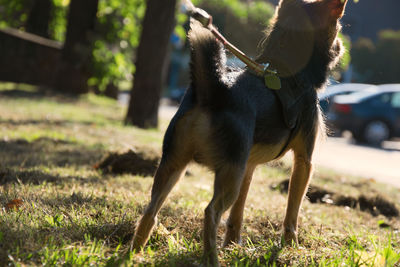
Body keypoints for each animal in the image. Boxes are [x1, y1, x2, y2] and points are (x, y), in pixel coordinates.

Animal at [133, 0, 346, 264]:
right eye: (338, 29)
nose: (342, 46)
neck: (288, 71)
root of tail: (214, 91)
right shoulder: (304, 161)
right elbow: (292, 214)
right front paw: (291, 248)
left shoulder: (248, 166)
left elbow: (237, 215)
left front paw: (234, 246)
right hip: (228, 175)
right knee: (211, 212)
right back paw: (211, 259)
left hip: (175, 164)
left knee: (150, 211)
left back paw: (134, 253)